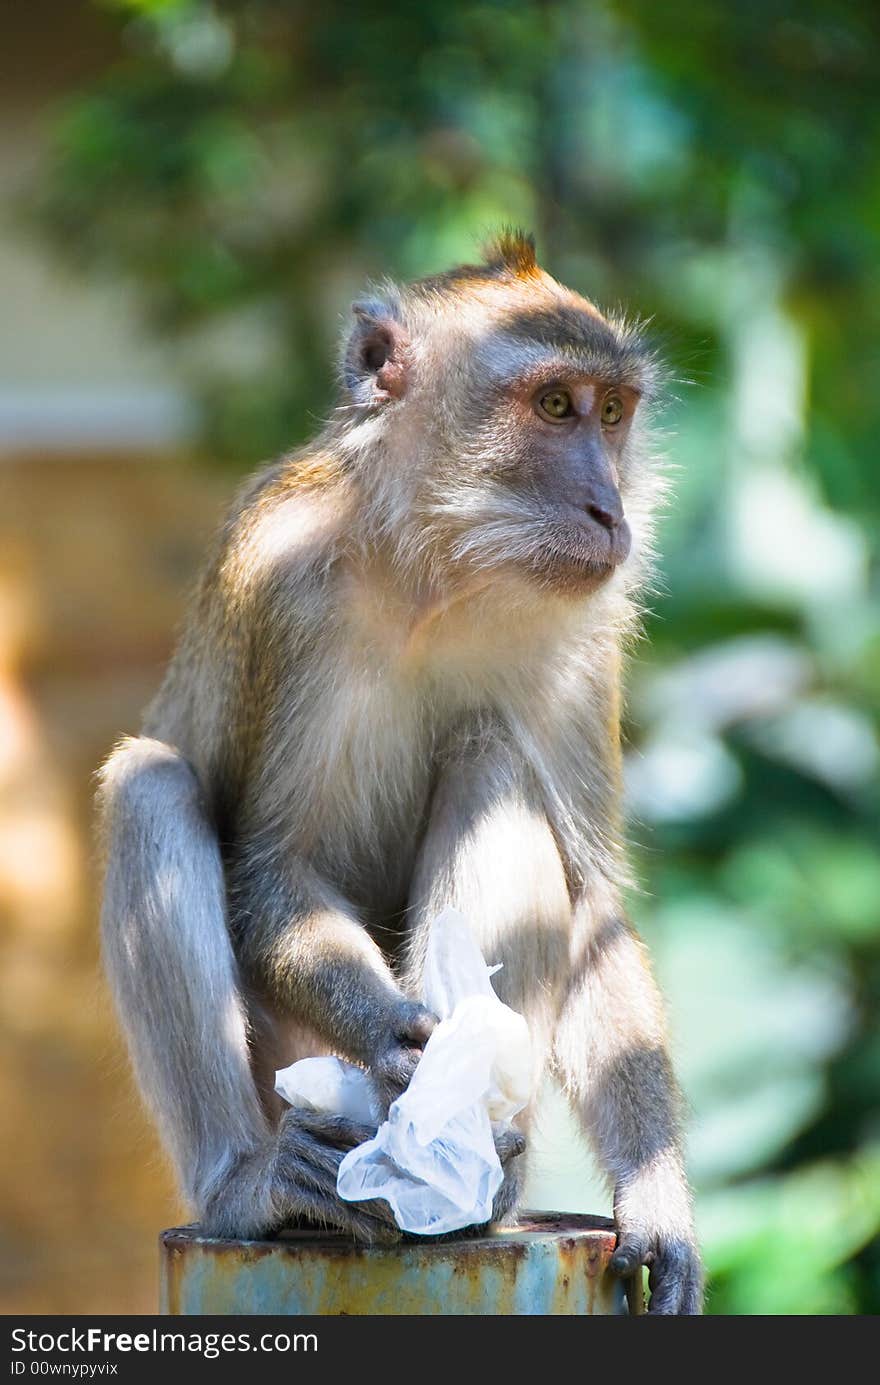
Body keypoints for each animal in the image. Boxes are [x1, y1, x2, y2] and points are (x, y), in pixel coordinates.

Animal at [94, 232, 701, 1312]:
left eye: (613, 411)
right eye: (556, 405)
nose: (609, 507)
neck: (439, 570)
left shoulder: (588, 630)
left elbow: (590, 895)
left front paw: (656, 1198)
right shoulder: (279, 580)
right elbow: (271, 868)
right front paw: (396, 1036)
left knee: (492, 754)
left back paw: (478, 1176)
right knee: (149, 786)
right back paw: (251, 1183)